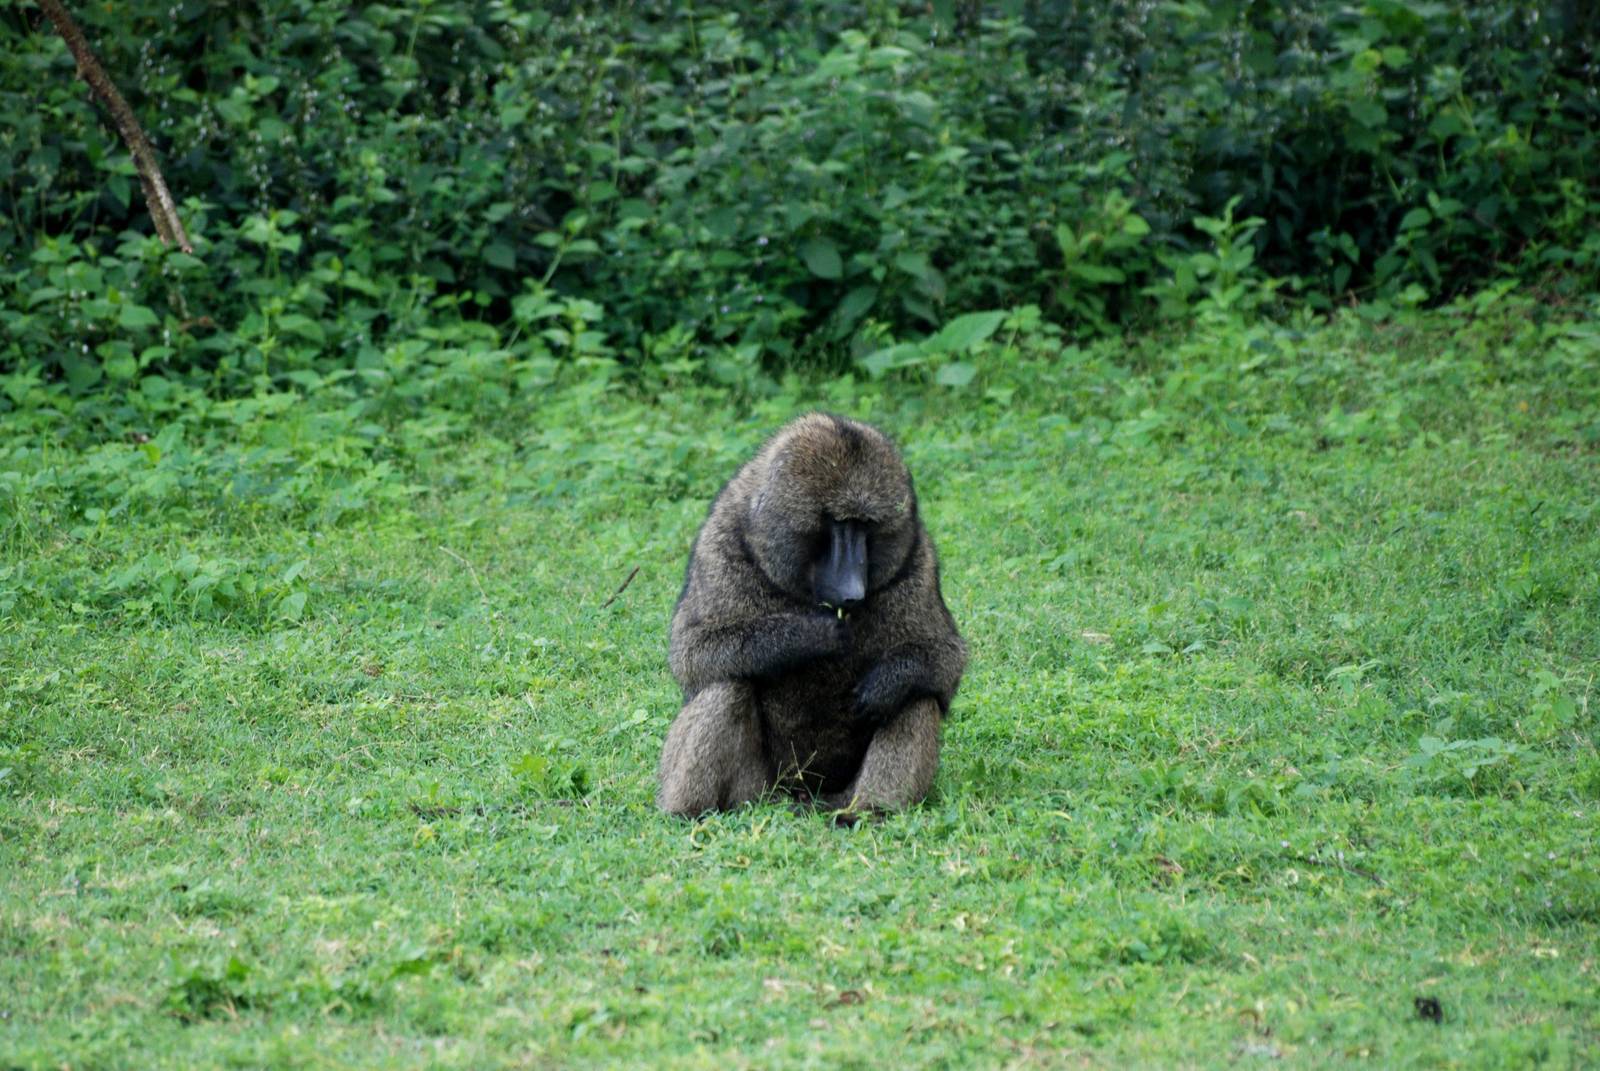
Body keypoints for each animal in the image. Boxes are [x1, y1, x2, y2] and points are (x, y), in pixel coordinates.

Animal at [656, 413, 966, 818]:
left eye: (865, 525)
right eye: (836, 523)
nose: (852, 591)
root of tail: (806, 795)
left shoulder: (917, 556)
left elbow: (945, 661)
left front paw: (886, 683)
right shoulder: (719, 541)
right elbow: (691, 653)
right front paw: (815, 634)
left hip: (838, 793)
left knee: (916, 694)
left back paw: (869, 812)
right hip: (756, 791)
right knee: (727, 684)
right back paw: (688, 814)